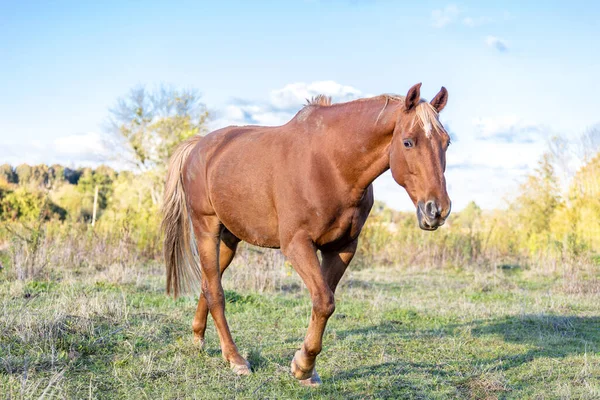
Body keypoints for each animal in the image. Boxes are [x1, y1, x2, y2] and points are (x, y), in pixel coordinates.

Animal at [162, 83, 452, 386]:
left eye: (446, 142)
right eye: (408, 142)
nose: (437, 210)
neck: (332, 165)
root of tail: (199, 145)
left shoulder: (342, 248)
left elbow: (323, 302)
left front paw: (305, 368)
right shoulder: (297, 244)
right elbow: (324, 302)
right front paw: (303, 366)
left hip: (230, 238)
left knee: (208, 284)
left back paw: (198, 338)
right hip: (206, 229)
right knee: (216, 292)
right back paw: (235, 359)